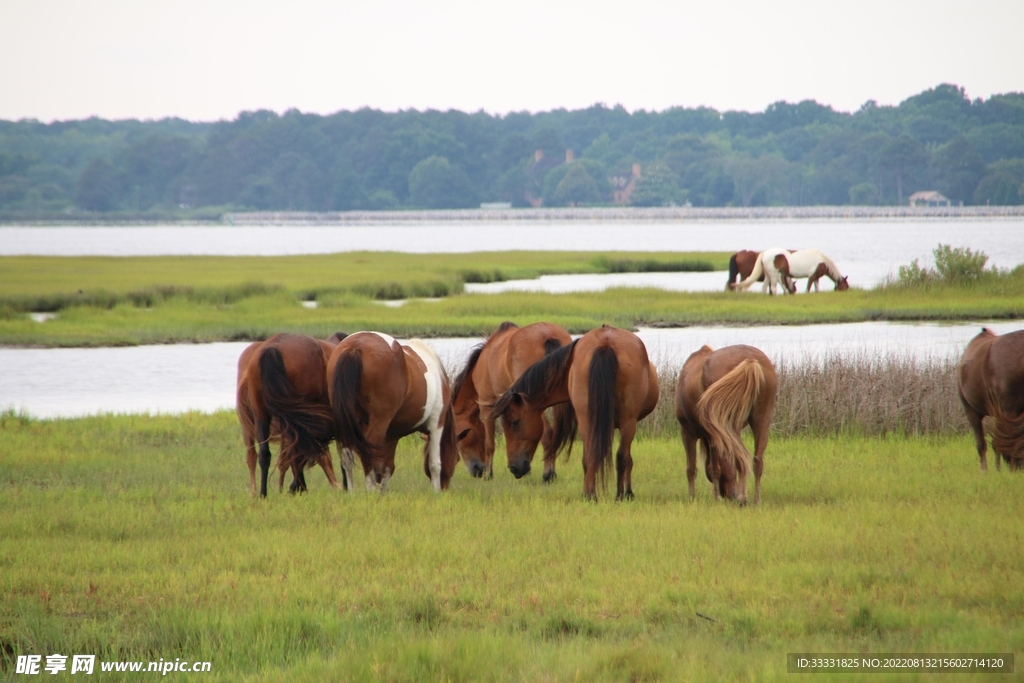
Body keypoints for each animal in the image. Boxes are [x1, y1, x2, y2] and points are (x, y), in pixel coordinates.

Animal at [327, 331, 459, 493]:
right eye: (457, 458)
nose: (445, 487)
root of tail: (355, 346)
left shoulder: (392, 434)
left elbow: (388, 467)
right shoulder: (436, 424)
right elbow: (434, 464)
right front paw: (436, 492)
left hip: (346, 422)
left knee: (347, 456)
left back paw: (352, 492)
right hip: (378, 421)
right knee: (366, 450)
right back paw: (370, 489)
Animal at [451, 321, 577, 481]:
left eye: (460, 437)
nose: (478, 470)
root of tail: (548, 335)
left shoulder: (487, 405)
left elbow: (489, 444)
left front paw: (488, 474)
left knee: (547, 433)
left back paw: (547, 475)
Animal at [487, 326, 659, 501]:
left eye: (514, 423)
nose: (514, 467)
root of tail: (606, 343)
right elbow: (626, 459)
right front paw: (627, 493)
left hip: (588, 419)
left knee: (593, 456)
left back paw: (590, 495)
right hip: (625, 421)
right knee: (620, 457)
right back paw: (617, 496)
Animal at [675, 345, 777, 505]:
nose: (732, 495)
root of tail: (750, 360)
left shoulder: (689, 433)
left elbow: (697, 469)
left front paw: (694, 498)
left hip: (730, 425)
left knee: (742, 458)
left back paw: (743, 499)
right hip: (762, 421)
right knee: (757, 461)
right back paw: (755, 501)